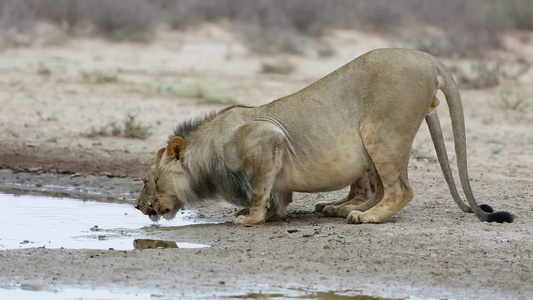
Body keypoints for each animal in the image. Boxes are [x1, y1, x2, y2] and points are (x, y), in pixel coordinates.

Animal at [135, 48, 512, 225]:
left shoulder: (267, 137)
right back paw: (343, 208)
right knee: (378, 189)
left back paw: (364, 216)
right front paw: (272, 214)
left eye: (147, 180)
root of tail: (429, 59)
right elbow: (276, 195)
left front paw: (250, 218)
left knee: (400, 190)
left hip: (379, 132)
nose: (137, 207)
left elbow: (258, 192)